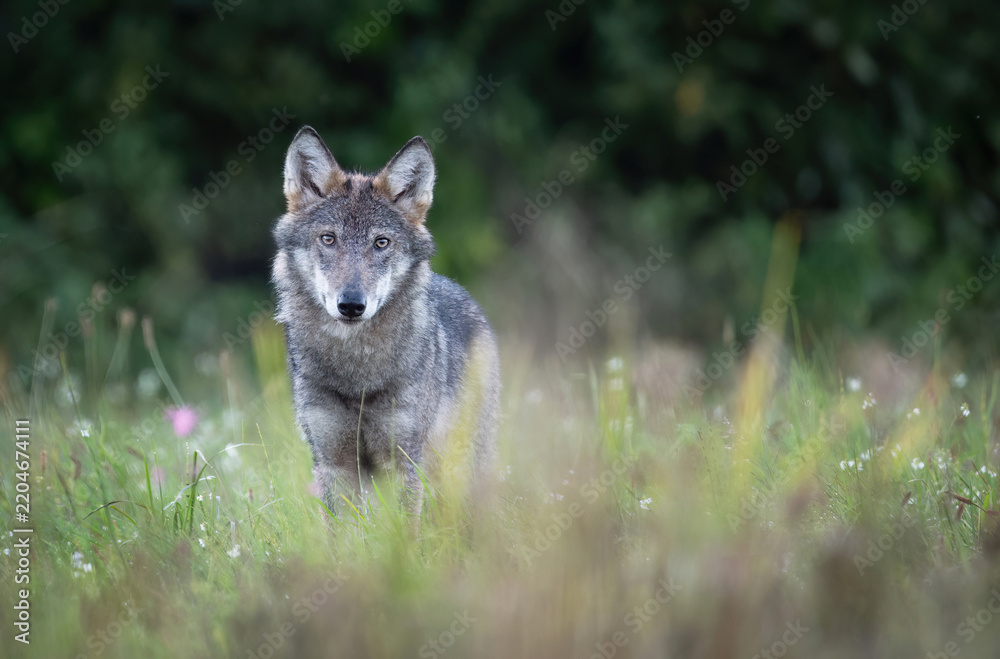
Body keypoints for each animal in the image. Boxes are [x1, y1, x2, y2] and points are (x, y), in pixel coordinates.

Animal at [271, 126, 500, 519]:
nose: (351, 305)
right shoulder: (334, 464)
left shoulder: (405, 461)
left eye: (381, 242)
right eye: (328, 239)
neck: (356, 375)